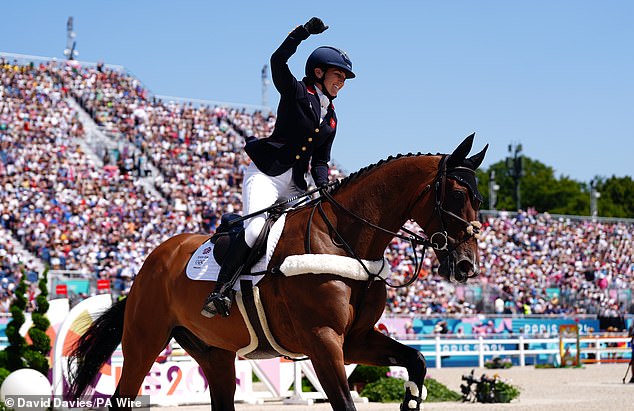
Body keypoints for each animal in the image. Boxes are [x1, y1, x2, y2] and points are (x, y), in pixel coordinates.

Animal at [66, 134, 486, 410]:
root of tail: (152, 262)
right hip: (144, 342)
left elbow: (416, 361)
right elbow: (345, 403)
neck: (345, 240)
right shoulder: (323, 341)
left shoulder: (355, 340)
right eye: (457, 195)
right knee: (122, 395)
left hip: (215, 354)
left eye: (480, 198)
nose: (466, 265)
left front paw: (410, 400)